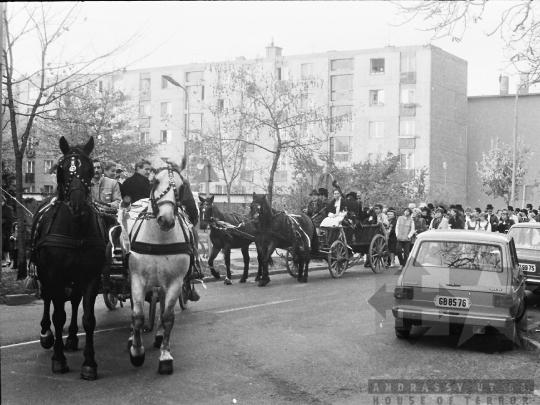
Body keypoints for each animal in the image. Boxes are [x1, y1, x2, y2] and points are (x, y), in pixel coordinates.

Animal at [31, 137, 108, 380]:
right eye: (62, 169)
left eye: (90, 169)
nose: (78, 204)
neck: (76, 228)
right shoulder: (54, 274)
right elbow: (58, 316)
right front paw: (58, 359)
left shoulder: (91, 276)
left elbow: (88, 319)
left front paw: (89, 363)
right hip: (45, 273)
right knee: (48, 299)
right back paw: (46, 334)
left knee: (74, 301)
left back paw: (72, 338)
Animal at [124, 159, 196, 374]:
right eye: (155, 182)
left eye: (181, 186)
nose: (166, 219)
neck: (159, 239)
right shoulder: (137, 279)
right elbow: (137, 315)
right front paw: (137, 351)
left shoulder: (175, 281)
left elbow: (167, 316)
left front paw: (165, 356)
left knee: (162, 301)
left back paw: (158, 336)